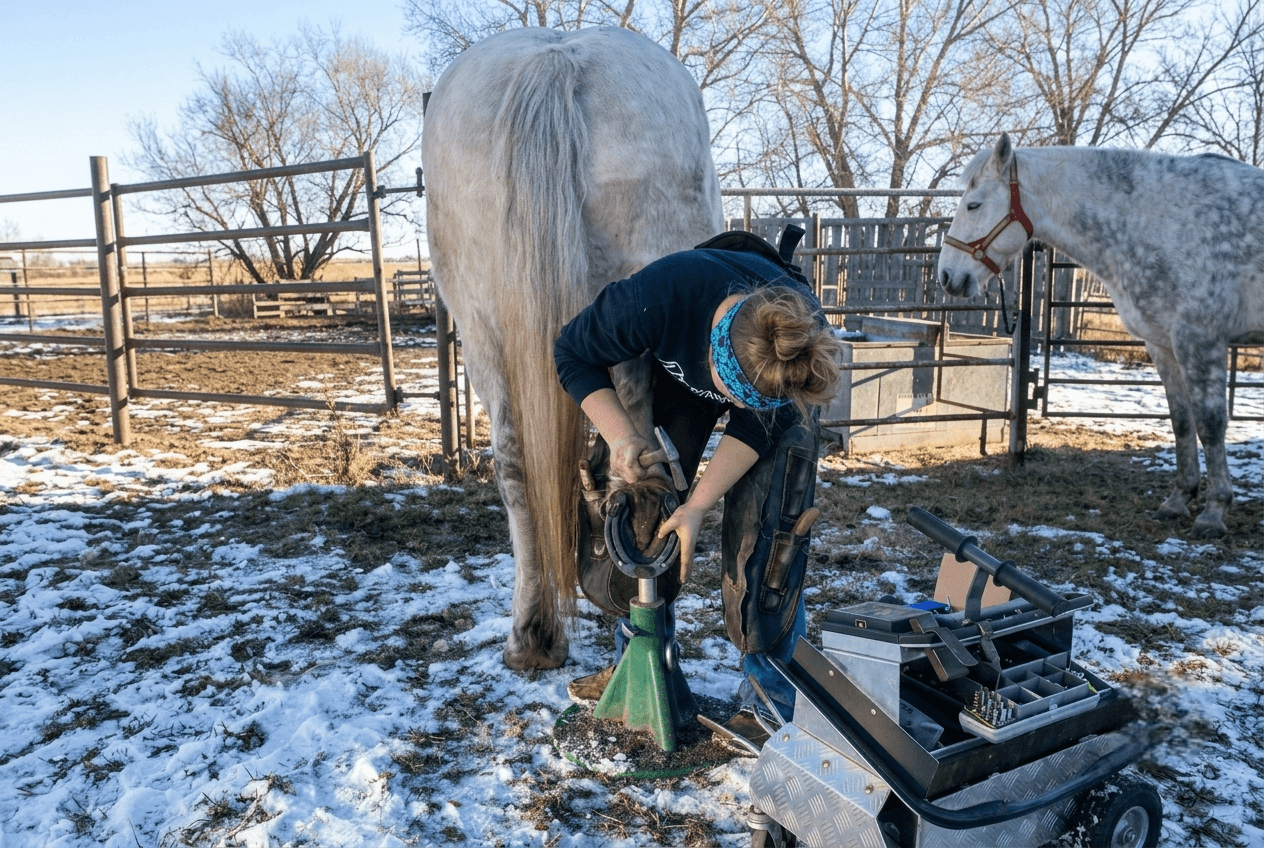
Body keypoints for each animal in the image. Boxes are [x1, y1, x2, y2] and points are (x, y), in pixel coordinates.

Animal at [937, 132, 1264, 538]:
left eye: (974, 204)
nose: (946, 276)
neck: (1162, 218)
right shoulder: (1162, 344)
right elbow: (1181, 421)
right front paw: (1177, 501)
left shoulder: (1200, 339)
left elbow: (1211, 424)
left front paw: (1213, 512)